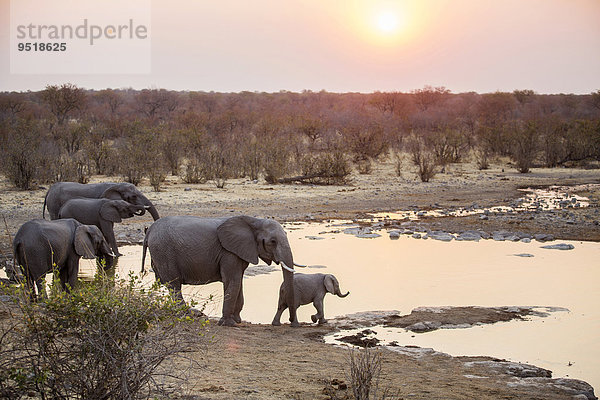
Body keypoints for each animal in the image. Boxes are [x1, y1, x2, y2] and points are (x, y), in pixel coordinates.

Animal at [142, 216, 304, 324]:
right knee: (174, 285)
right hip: (164, 252)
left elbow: (238, 281)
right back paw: (186, 315)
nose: (291, 321)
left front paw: (237, 320)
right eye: (273, 241)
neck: (253, 221)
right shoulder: (228, 252)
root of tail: (149, 230)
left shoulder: (239, 251)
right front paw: (229, 324)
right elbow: (232, 280)